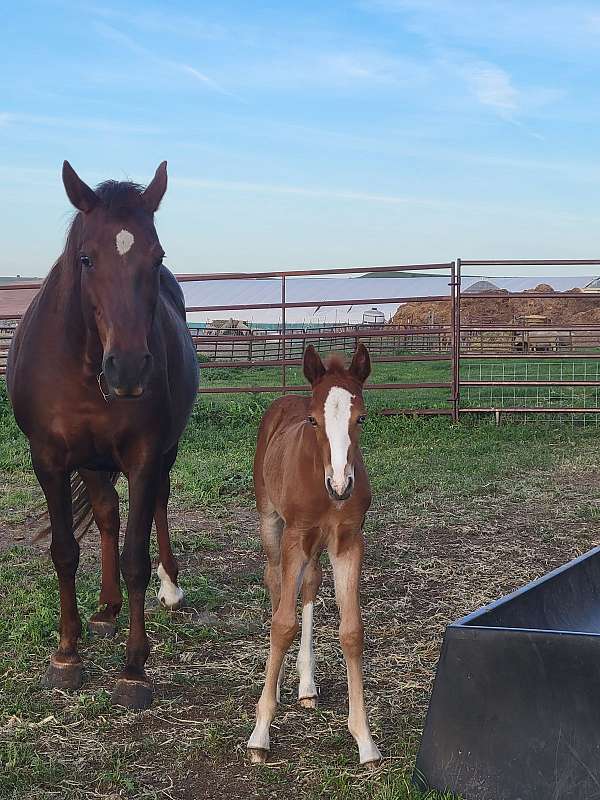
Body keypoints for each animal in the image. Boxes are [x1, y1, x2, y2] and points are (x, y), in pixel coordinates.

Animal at [7, 161, 199, 709]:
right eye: (86, 258)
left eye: (157, 256)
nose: (128, 369)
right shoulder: (48, 458)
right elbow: (66, 551)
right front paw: (67, 653)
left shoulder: (144, 456)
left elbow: (136, 556)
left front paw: (134, 669)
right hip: (92, 462)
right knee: (108, 515)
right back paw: (106, 608)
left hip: (162, 454)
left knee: (157, 506)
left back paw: (169, 588)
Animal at [247, 343, 382, 767]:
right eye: (313, 420)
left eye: (361, 418)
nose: (340, 484)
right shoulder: (295, 535)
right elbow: (282, 624)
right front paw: (260, 734)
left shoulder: (347, 541)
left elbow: (352, 631)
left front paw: (364, 739)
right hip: (271, 522)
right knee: (276, 581)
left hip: (316, 545)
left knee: (309, 584)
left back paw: (306, 684)